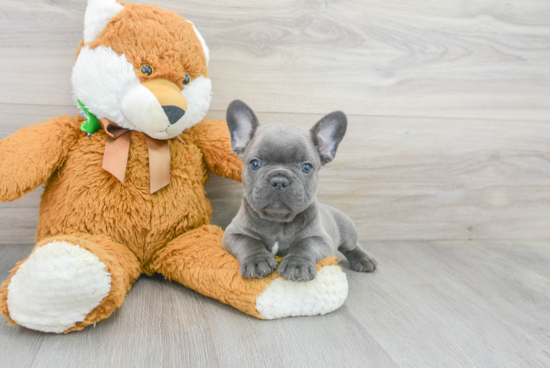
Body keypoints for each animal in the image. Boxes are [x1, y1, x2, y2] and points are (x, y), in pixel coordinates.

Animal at [222, 100, 378, 282]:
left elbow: (305, 244)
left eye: (306, 167)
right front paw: (257, 261)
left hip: (347, 230)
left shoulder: (321, 239)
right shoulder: (233, 233)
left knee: (353, 246)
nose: (279, 180)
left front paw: (297, 265)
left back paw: (364, 260)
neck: (278, 220)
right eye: (255, 163)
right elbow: (248, 242)